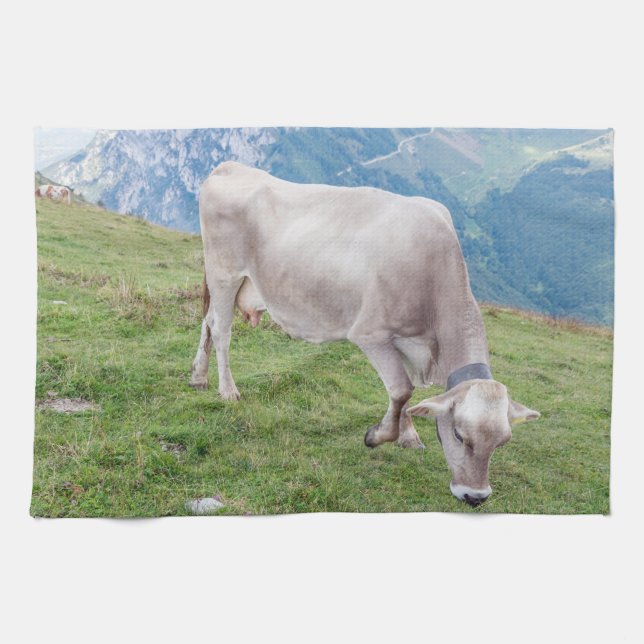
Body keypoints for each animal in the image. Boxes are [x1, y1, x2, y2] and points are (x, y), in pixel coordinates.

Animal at [189, 161, 540, 505]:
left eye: (502, 441)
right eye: (458, 434)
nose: (475, 496)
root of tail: (231, 167)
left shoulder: (407, 341)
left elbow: (408, 392)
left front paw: (408, 435)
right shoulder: (371, 333)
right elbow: (401, 390)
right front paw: (377, 436)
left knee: (208, 320)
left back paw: (198, 376)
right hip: (225, 274)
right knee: (221, 330)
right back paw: (227, 390)